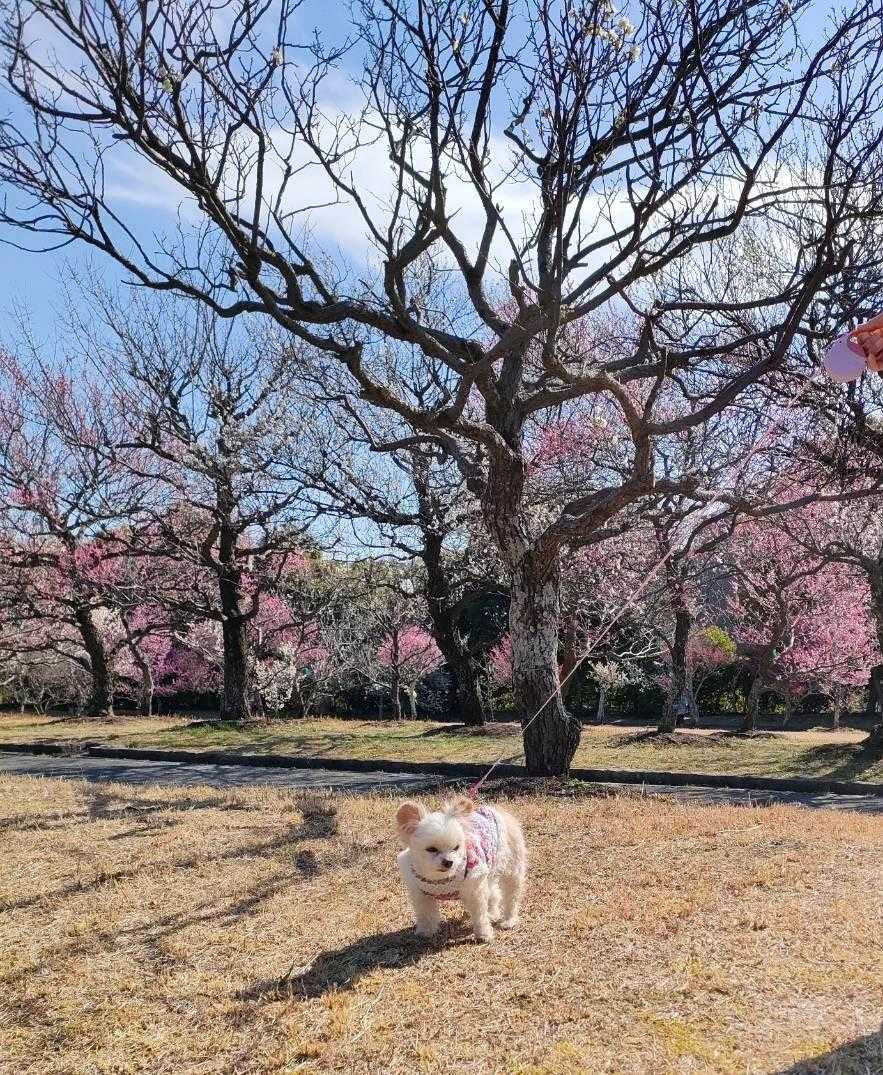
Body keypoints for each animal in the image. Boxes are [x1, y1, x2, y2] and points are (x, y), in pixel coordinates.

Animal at [395, 795, 526, 942]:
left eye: (456, 847)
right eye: (431, 849)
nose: (448, 862)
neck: (439, 880)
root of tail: (496, 810)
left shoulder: (474, 889)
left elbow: (479, 915)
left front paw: (484, 934)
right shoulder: (421, 894)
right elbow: (425, 914)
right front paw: (426, 931)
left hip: (511, 868)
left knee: (511, 897)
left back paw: (509, 921)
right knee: (494, 893)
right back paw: (492, 914)